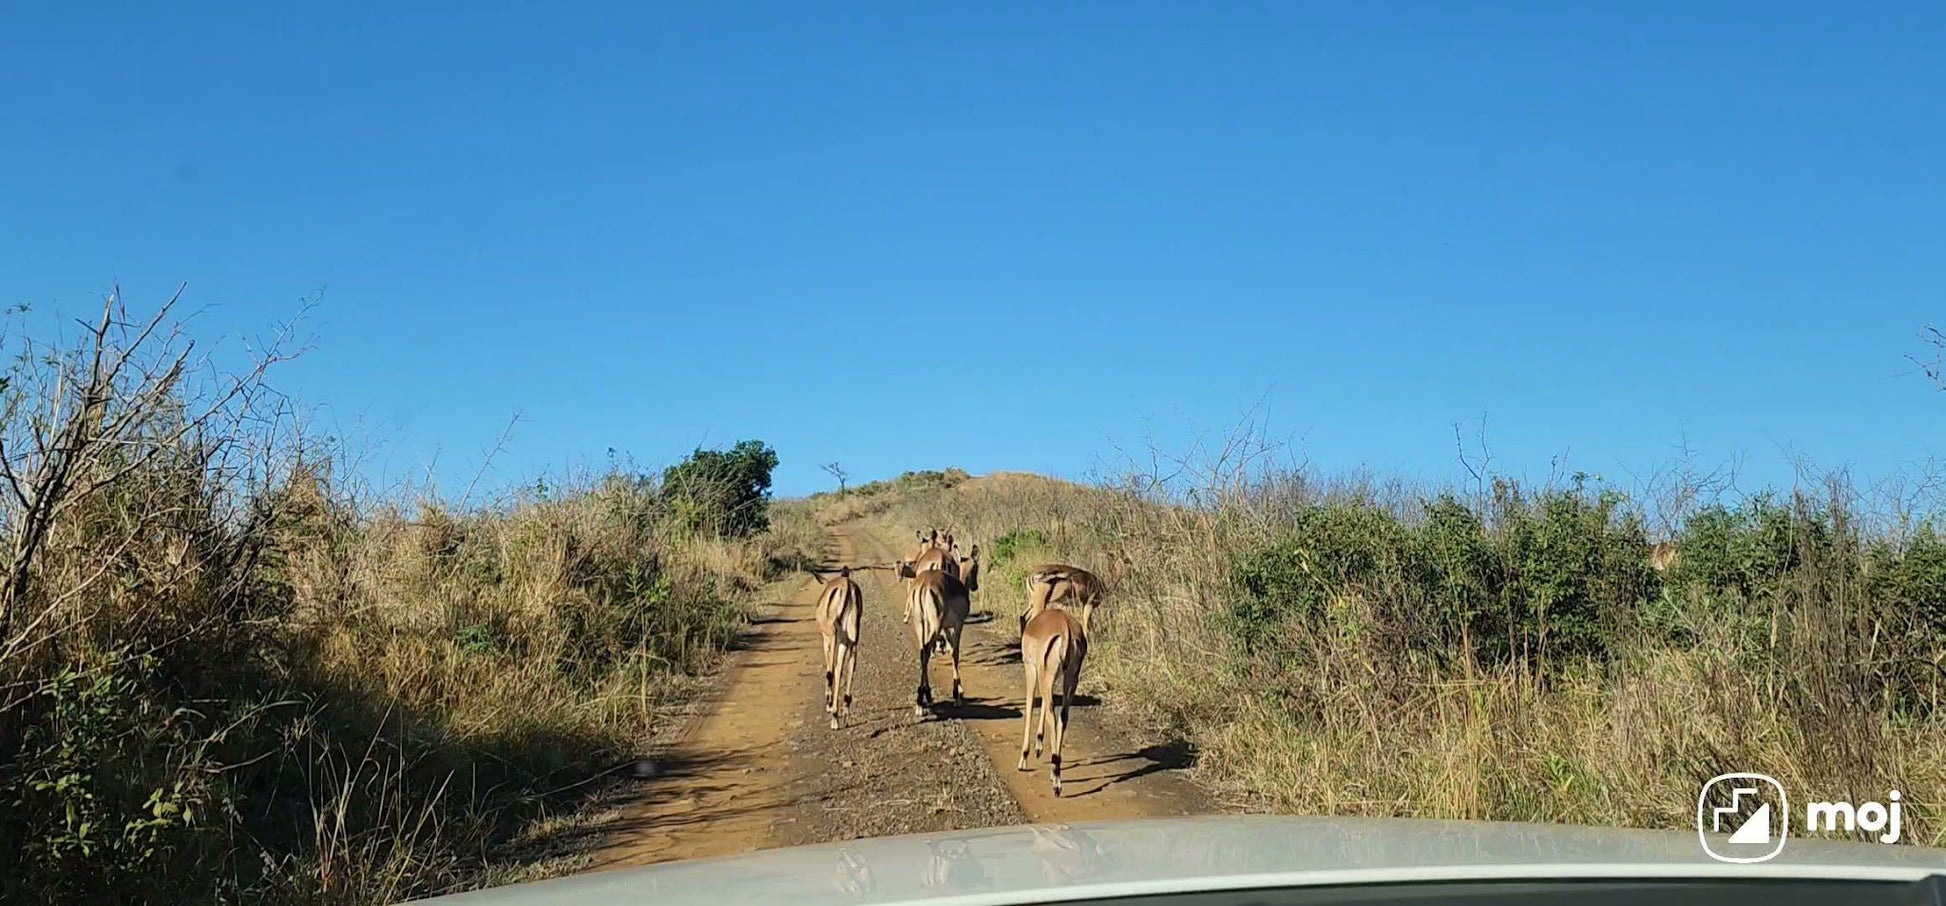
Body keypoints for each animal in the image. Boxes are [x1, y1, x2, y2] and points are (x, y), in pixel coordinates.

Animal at [809, 567, 864, 727]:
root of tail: (847, 586)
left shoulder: (826, 639)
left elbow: (829, 670)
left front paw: (828, 703)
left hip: (834, 636)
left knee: (835, 670)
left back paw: (834, 715)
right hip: (853, 640)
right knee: (849, 665)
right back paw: (845, 714)